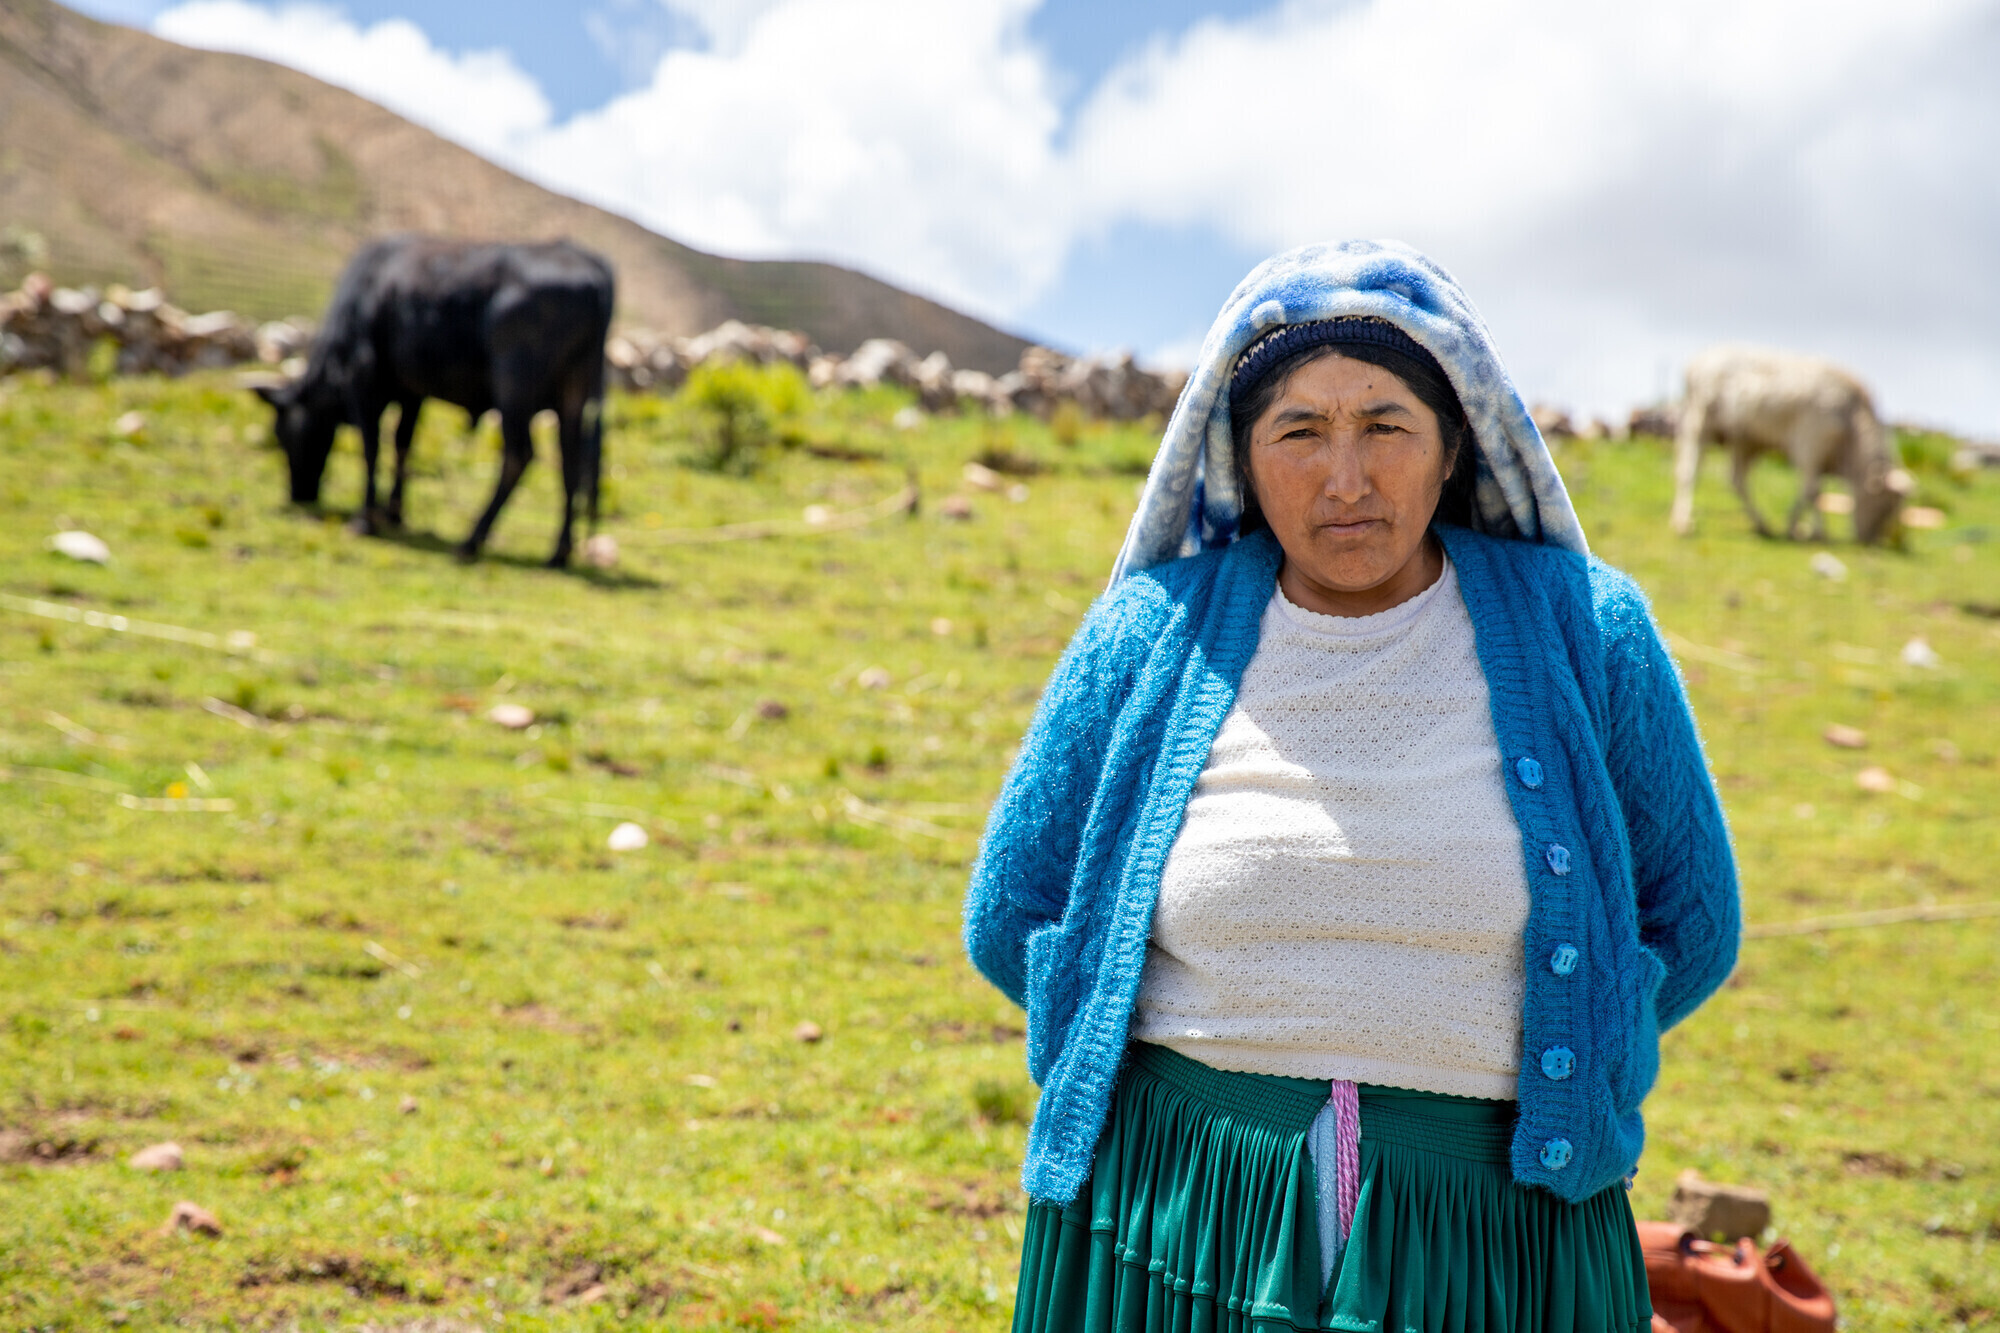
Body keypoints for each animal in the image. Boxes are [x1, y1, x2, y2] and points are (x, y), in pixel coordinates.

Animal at [258, 236, 616, 564]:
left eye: (283, 435)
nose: (299, 494)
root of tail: (590, 263)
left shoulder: (364, 375)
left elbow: (371, 447)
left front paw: (365, 518)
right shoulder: (411, 390)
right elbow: (402, 441)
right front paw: (394, 512)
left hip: (515, 384)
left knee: (519, 455)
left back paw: (472, 540)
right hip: (574, 391)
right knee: (572, 461)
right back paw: (558, 552)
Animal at [1672, 350, 1904, 548]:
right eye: (1885, 505)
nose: (1871, 541)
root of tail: (1696, 363)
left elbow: (1807, 491)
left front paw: (1795, 528)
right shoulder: (1810, 445)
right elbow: (1812, 491)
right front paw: (1817, 533)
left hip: (1745, 442)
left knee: (1736, 480)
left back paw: (1762, 526)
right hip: (1699, 422)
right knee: (1689, 472)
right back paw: (1683, 522)